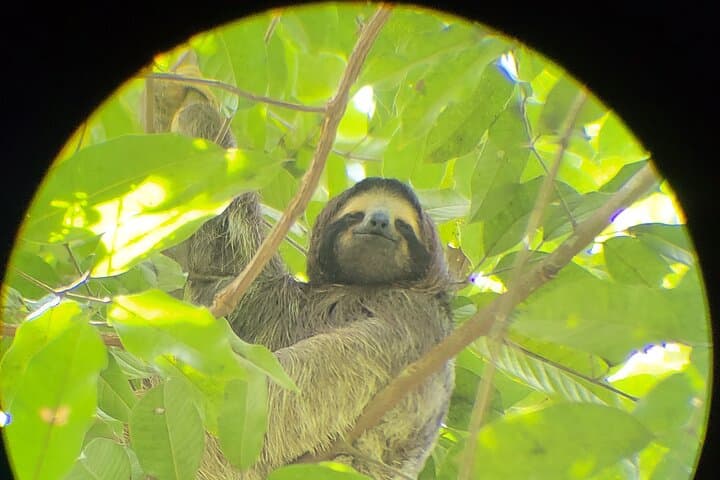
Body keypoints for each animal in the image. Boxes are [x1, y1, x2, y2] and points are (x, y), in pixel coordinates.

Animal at [147, 53, 454, 480]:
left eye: (403, 224)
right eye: (355, 214)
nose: (378, 222)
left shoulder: (400, 314)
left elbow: (230, 268)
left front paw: (196, 101)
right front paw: (180, 83)